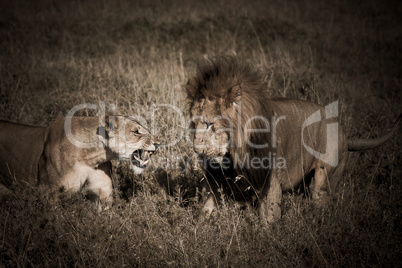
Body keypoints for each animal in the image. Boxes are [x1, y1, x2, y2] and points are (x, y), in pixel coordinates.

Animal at [185, 56, 398, 224]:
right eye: (194, 123)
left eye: (210, 124)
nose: (197, 150)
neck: (235, 152)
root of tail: (344, 133)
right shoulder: (216, 179)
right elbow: (207, 208)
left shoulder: (269, 180)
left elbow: (268, 217)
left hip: (324, 180)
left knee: (321, 201)